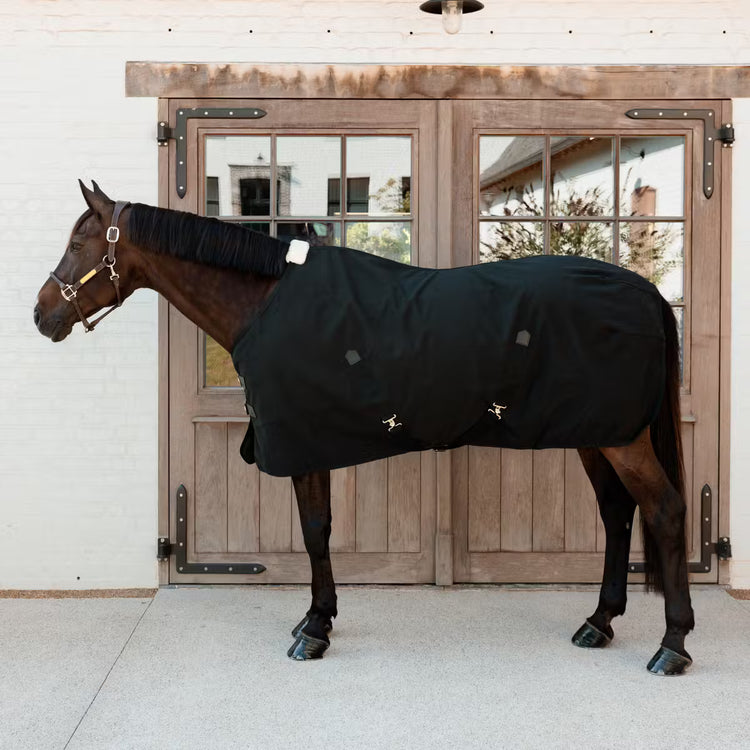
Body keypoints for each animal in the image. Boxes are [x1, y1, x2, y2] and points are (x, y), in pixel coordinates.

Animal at [34, 181, 695, 675]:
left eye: (78, 241)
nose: (42, 314)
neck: (267, 302)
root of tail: (647, 293)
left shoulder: (302, 442)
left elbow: (314, 532)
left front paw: (313, 631)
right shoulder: (312, 441)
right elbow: (320, 529)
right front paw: (317, 619)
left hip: (621, 438)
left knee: (663, 510)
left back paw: (672, 647)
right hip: (595, 433)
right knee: (617, 512)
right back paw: (599, 623)